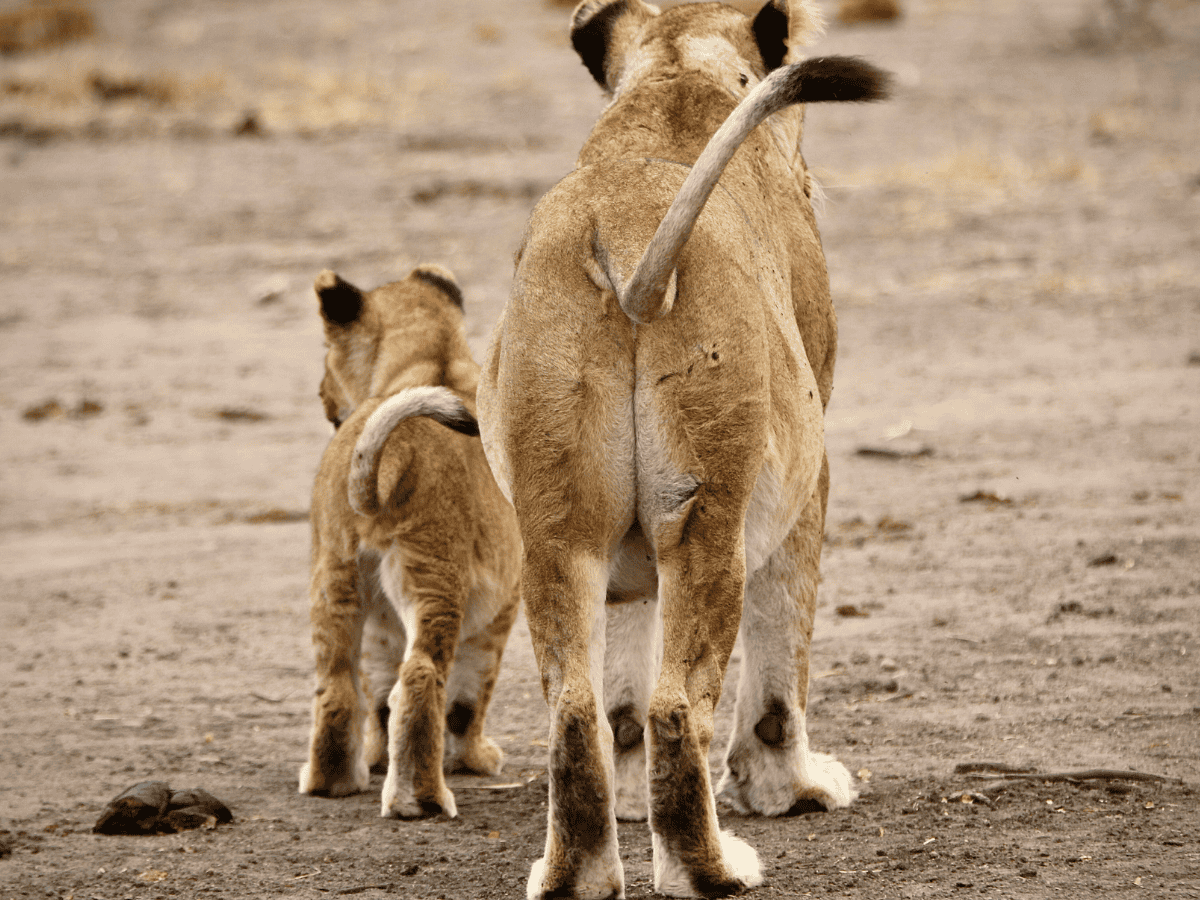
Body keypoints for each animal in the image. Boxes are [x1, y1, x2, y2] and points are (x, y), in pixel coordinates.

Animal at [298, 266, 522, 820]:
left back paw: (331, 780)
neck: (433, 363)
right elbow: (472, 692)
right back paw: (420, 799)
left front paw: (378, 758)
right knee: (421, 679)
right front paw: (476, 759)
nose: (320, 395)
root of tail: (393, 450)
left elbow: (377, 689)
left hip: (334, 576)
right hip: (437, 573)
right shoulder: (505, 601)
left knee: (339, 684)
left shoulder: (380, 619)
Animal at [477, 1, 889, 896]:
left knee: (574, 711)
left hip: (557, 531)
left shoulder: (622, 555)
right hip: (709, 518)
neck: (676, 72)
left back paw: (576, 876)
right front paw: (791, 790)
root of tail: (628, 239)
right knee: (678, 708)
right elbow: (782, 651)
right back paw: (713, 870)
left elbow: (621, 695)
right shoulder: (809, 478)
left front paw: (633, 804)